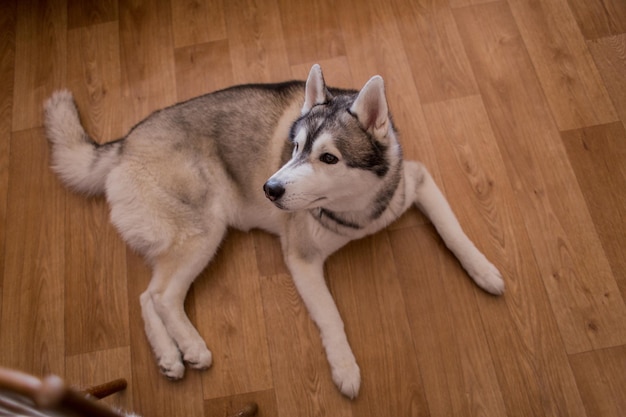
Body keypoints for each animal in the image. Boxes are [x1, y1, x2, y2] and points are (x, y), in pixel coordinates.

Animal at [44, 64, 502, 396]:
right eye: (294, 148)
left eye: (329, 158)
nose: (270, 188)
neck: (355, 210)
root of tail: (124, 143)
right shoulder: (302, 259)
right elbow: (331, 316)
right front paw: (345, 367)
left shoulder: (417, 181)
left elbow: (454, 231)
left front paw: (483, 270)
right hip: (203, 231)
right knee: (161, 296)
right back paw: (190, 346)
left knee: (147, 296)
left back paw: (170, 356)